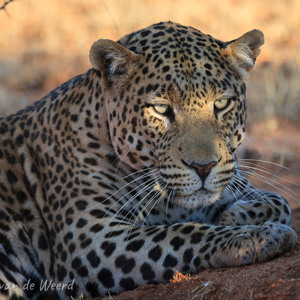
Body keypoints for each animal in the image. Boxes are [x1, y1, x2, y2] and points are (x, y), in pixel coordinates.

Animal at [0, 20, 296, 298]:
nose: (203, 167)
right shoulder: (91, 239)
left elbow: (279, 201)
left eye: (222, 104)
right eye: (161, 109)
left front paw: (236, 216)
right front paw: (257, 236)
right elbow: (180, 233)